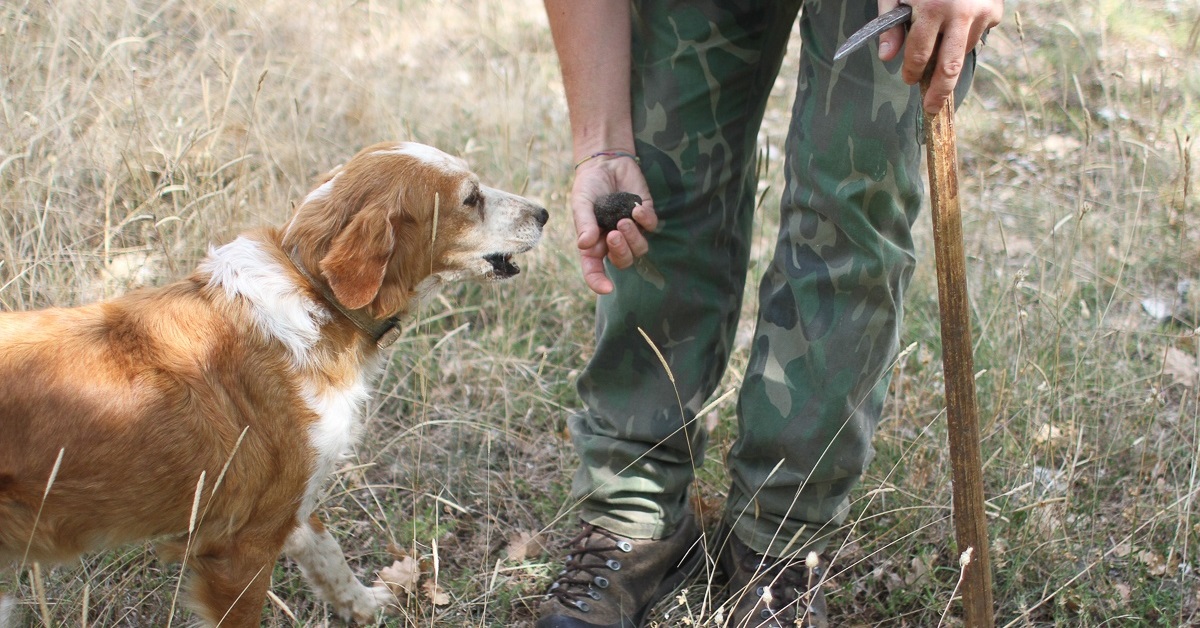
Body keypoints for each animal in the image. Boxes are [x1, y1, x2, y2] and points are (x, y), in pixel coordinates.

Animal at [0, 143, 549, 628]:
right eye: (470, 198)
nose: (544, 212)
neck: (317, 296)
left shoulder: (291, 506)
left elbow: (328, 555)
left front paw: (364, 604)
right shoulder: (240, 546)